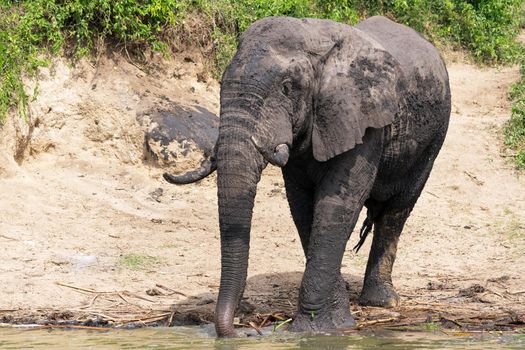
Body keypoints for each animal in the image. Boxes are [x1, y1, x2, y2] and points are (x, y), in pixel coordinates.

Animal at [164, 15, 450, 336]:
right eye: (222, 85)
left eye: (287, 88)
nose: (237, 331)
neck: (314, 39)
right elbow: (303, 209)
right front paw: (333, 322)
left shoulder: (362, 121)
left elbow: (335, 205)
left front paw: (313, 330)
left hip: (433, 139)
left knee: (397, 212)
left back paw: (383, 302)